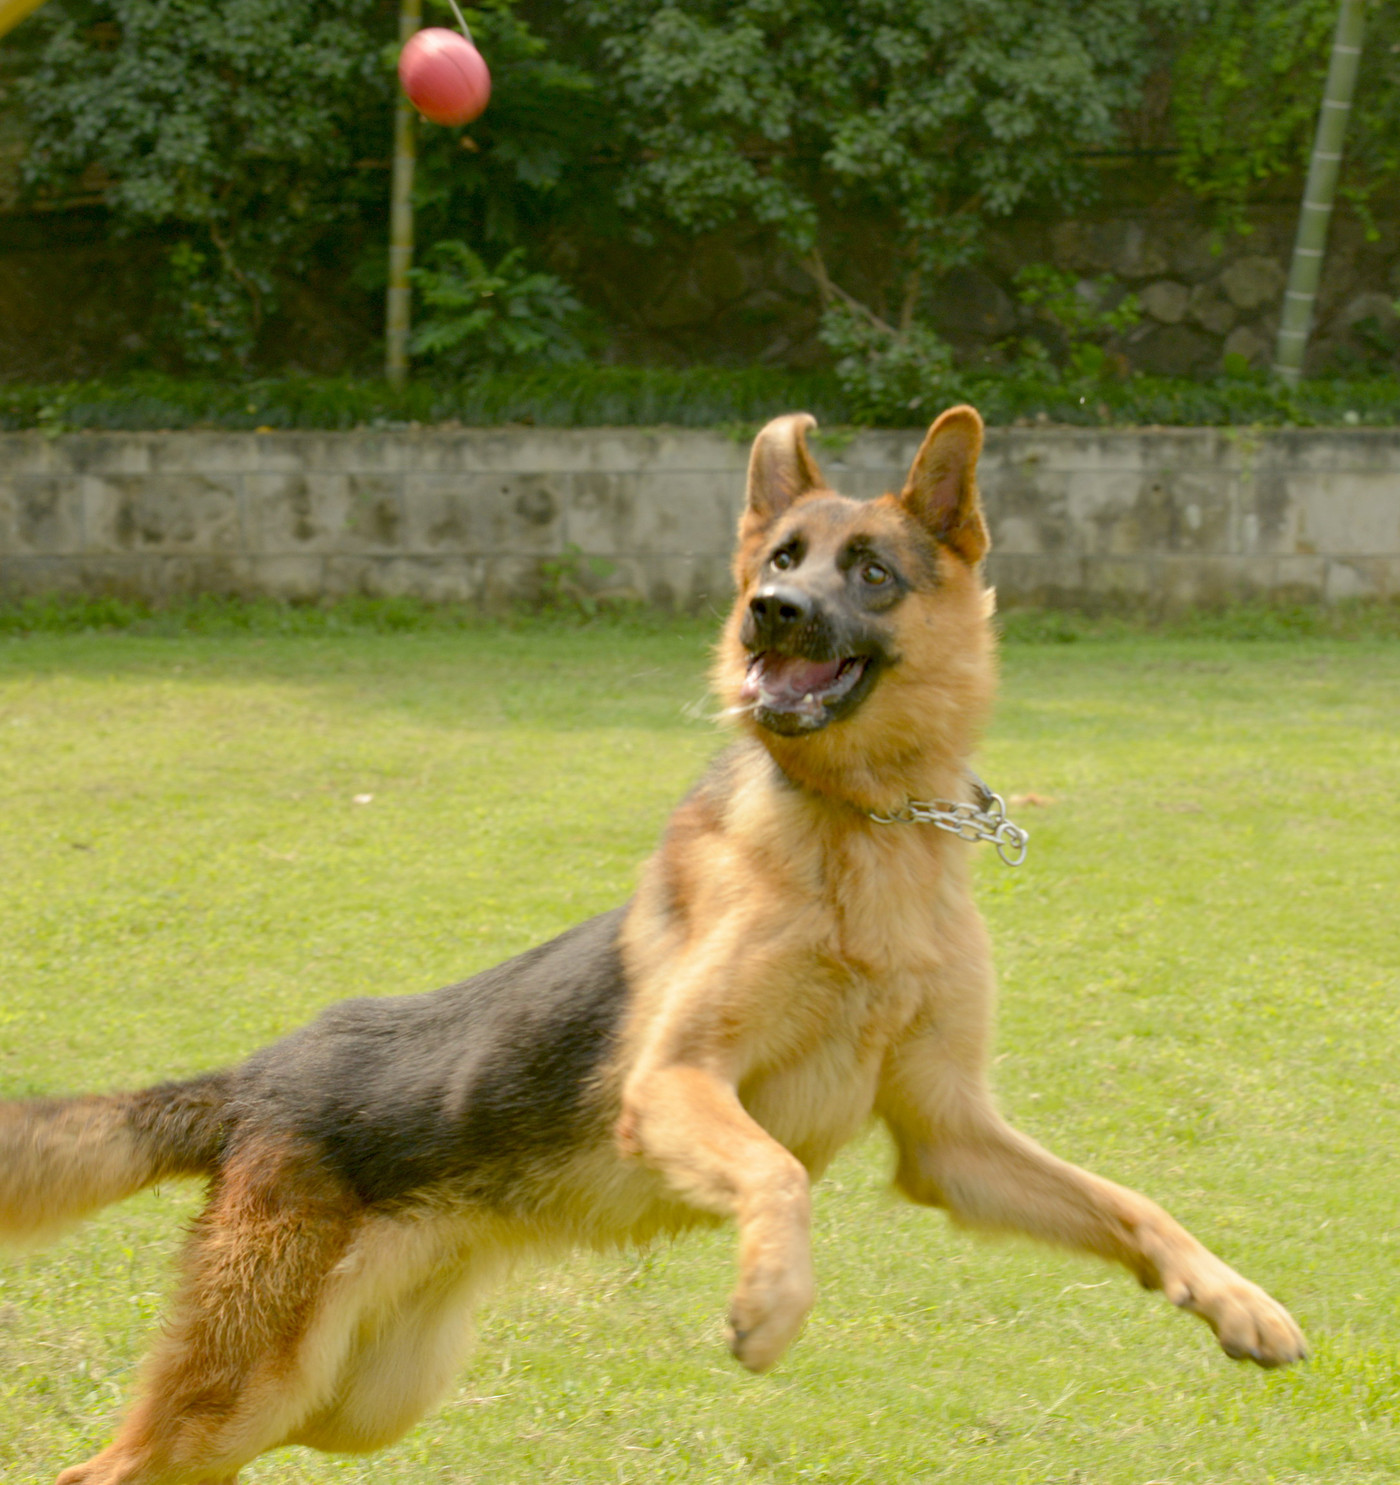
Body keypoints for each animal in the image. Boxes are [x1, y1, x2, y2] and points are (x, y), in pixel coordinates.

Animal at [5, 406, 1306, 1485]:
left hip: (346, 1403)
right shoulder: (677, 1083)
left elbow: (1130, 1205)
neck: (862, 835)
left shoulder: (953, 1140)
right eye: (780, 561)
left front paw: (1231, 1299)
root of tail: (252, 1080)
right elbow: (779, 1177)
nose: (768, 617)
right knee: (100, 1471)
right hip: (246, 1391)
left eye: (869, 573)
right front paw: (770, 1300)